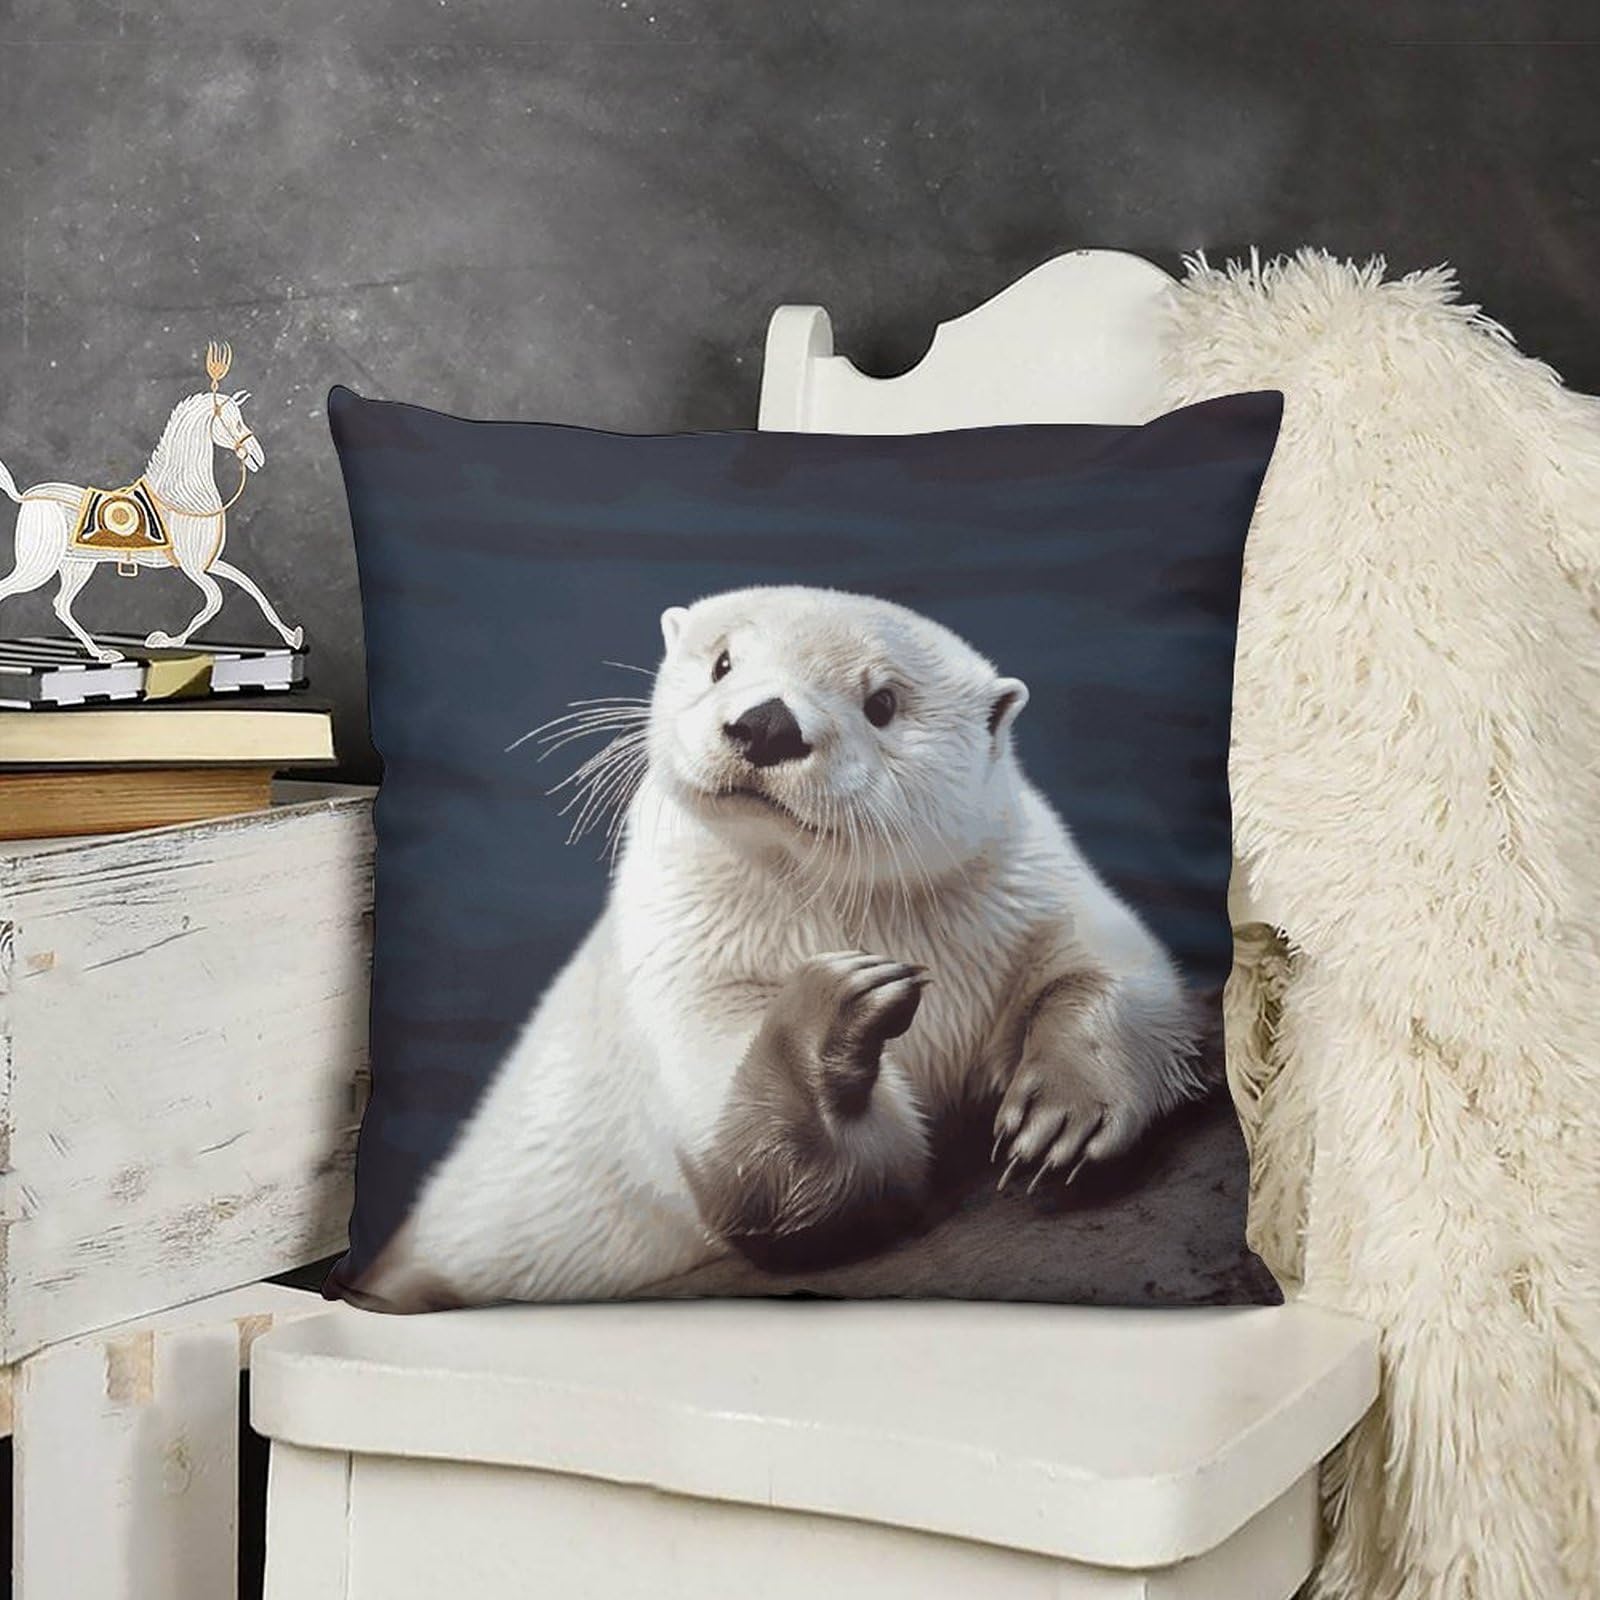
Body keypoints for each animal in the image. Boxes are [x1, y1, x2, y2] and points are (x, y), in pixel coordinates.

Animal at [355, 586, 1203, 1309]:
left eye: (882, 702)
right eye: (724, 662)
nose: (767, 722)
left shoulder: (1034, 889)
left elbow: (1122, 976)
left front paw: (1065, 1110)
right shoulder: (684, 980)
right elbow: (794, 1182)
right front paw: (836, 1011)